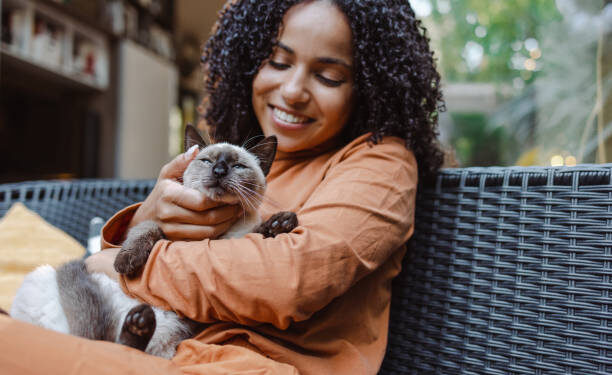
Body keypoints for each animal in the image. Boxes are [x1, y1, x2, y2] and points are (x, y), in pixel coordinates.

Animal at [8, 125, 296, 358]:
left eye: (237, 166)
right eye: (207, 161)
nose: (219, 170)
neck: (211, 234)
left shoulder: (237, 238)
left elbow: (258, 230)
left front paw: (282, 223)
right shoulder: (162, 227)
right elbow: (146, 231)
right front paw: (126, 263)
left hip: (170, 334)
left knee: (118, 346)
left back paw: (138, 324)